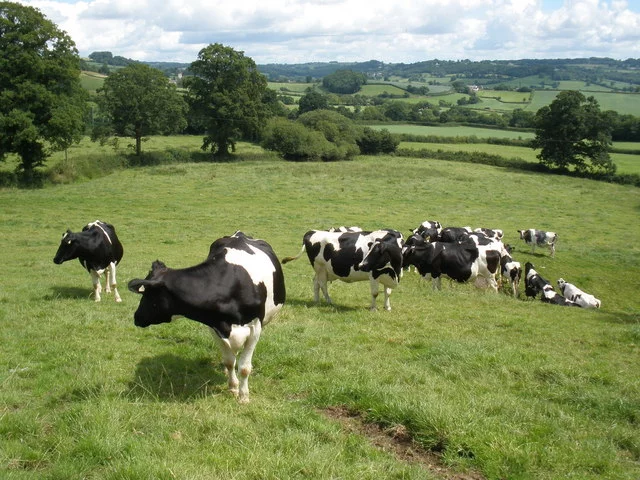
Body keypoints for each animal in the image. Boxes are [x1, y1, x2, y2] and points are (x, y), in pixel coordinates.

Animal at [128, 231, 286, 404]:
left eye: (146, 293)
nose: (136, 317)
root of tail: (239, 234)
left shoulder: (255, 327)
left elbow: (244, 368)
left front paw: (244, 397)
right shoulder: (214, 327)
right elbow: (229, 362)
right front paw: (233, 387)